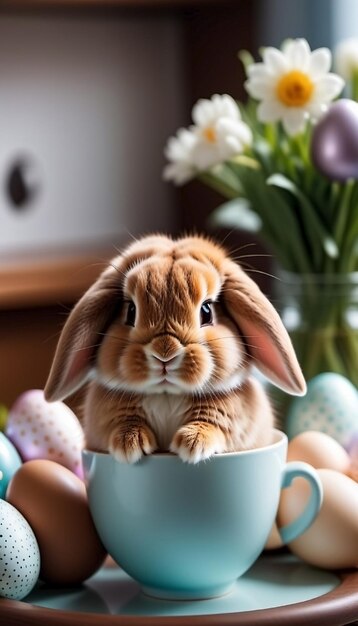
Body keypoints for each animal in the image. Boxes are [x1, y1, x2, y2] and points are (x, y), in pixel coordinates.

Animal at [44, 234, 304, 464]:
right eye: (130, 311)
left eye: (207, 311)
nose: (164, 354)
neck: (167, 395)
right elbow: (122, 422)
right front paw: (129, 444)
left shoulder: (234, 418)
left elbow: (217, 424)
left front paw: (192, 443)